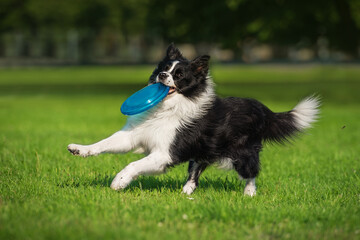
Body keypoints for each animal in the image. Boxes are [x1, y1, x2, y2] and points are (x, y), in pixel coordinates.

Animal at [68, 44, 320, 196]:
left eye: (179, 75)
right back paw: (186, 192)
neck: (166, 108)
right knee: (196, 170)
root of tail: (262, 109)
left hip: (241, 154)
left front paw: (119, 182)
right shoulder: (133, 136)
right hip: (205, 149)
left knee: (251, 173)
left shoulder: (165, 153)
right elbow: (104, 143)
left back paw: (249, 194)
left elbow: (133, 164)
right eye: (163, 68)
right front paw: (79, 149)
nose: (162, 76)